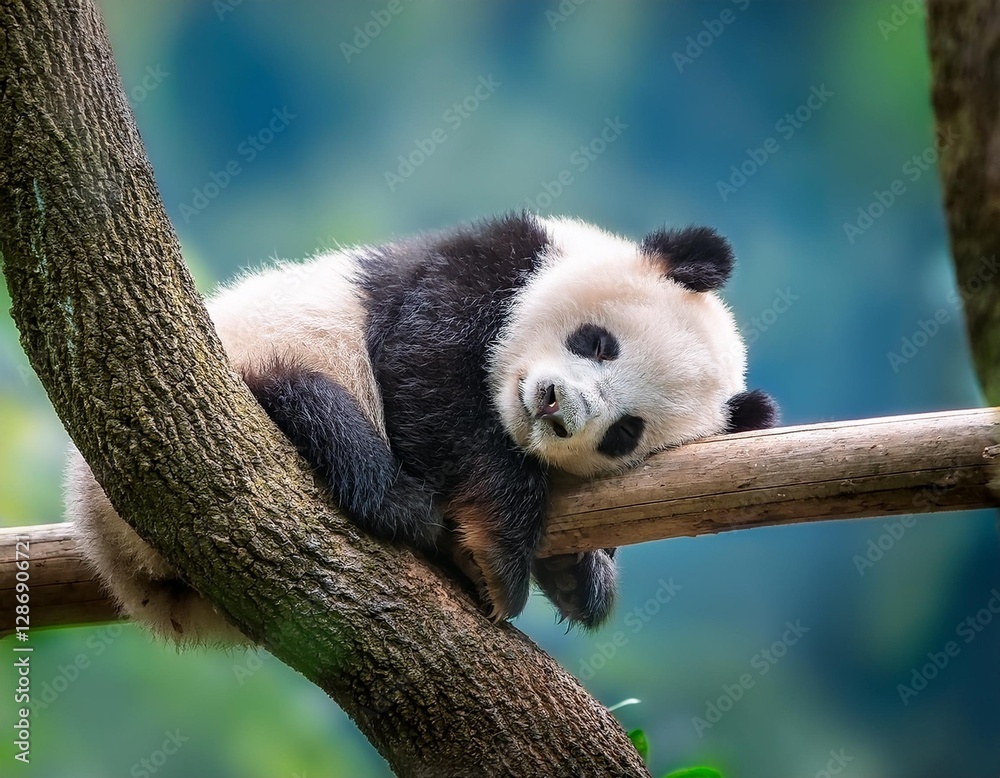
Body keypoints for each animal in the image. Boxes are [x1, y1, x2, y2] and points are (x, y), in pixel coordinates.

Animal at [66, 212, 776, 645]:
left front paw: (580, 575)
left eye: (624, 433)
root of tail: (109, 548)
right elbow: (428, 377)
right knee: (312, 407)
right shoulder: (478, 267)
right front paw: (498, 553)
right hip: (239, 374)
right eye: (597, 342)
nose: (555, 406)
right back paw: (398, 503)